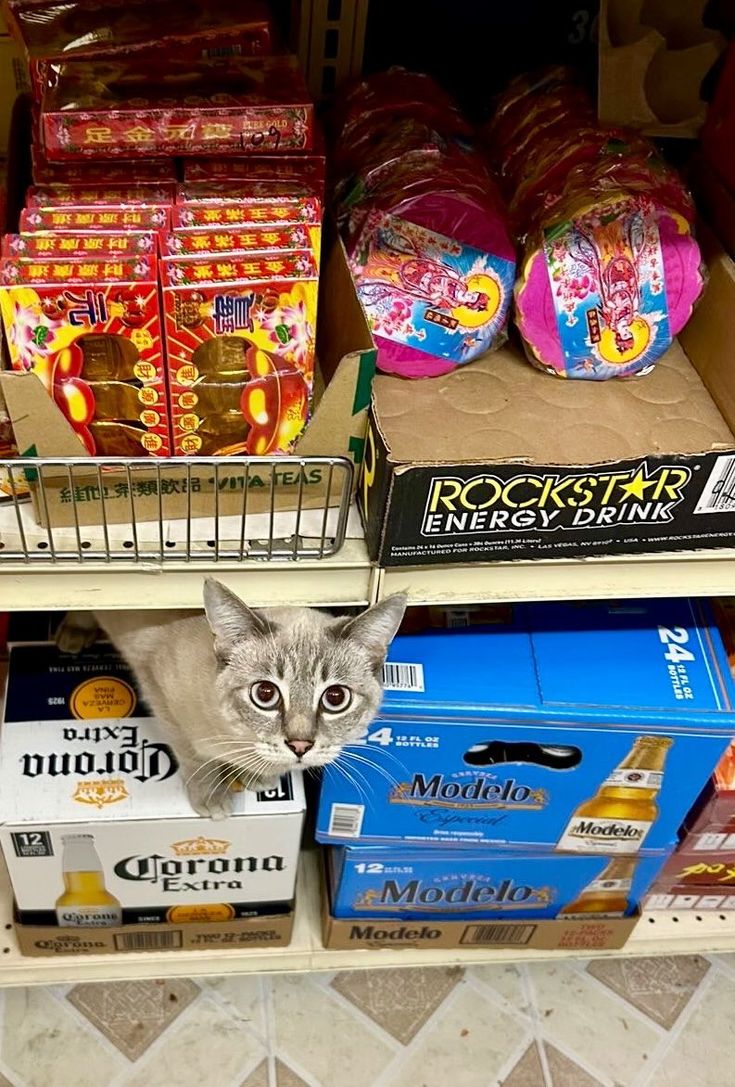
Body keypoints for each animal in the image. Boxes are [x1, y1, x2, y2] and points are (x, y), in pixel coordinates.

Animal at [56, 578, 404, 817]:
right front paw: (213, 797)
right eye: (265, 694)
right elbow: (196, 759)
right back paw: (73, 633)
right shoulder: (157, 690)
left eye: (335, 697)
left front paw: (256, 775)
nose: (300, 745)